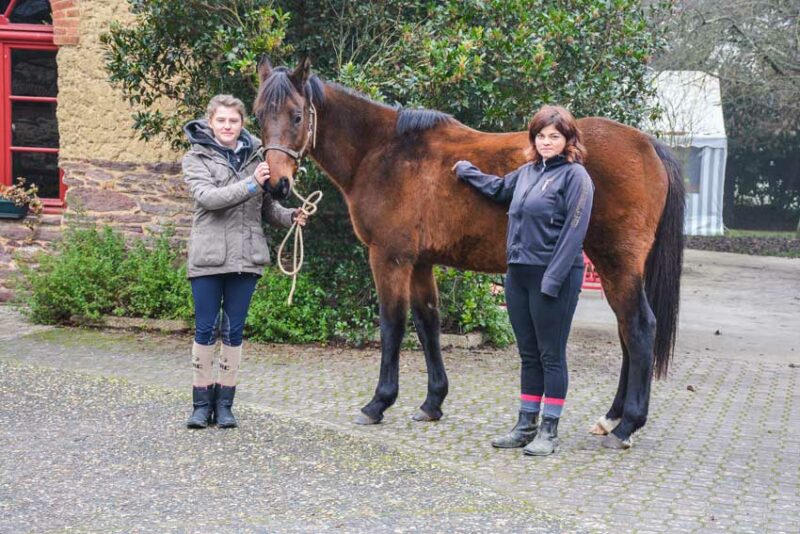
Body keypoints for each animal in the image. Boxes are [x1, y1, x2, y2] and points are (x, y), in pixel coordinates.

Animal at [255, 56, 680, 450]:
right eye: (259, 114)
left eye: (297, 115)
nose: (277, 185)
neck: (381, 151)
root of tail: (650, 146)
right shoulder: (420, 263)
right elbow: (428, 324)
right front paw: (432, 403)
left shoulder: (389, 258)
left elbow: (392, 324)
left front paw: (378, 403)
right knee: (627, 333)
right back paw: (611, 419)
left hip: (616, 263)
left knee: (639, 328)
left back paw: (626, 426)